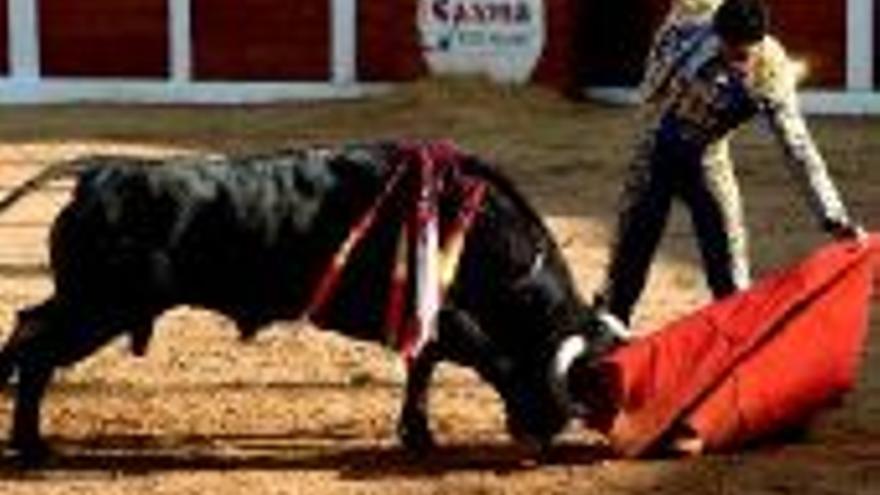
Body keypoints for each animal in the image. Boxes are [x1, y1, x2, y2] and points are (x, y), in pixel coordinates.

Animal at [0, 142, 624, 464]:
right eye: (566, 383)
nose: (540, 438)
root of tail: (99, 174)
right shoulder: (442, 317)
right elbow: (474, 354)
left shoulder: (426, 322)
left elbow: (421, 368)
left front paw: (417, 434)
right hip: (97, 308)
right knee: (36, 350)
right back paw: (31, 448)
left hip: (87, 304)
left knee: (26, 329)